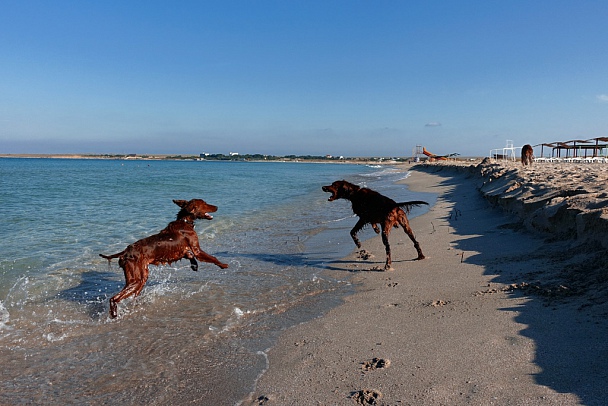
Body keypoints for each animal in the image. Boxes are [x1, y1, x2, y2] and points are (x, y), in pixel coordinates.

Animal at [100, 198, 228, 318]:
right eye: (205, 203)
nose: (217, 207)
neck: (184, 221)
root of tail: (126, 252)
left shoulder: (182, 252)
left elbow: (189, 255)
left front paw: (194, 265)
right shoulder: (197, 250)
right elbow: (212, 258)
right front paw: (223, 265)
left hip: (142, 277)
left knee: (132, 295)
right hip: (136, 279)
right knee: (114, 298)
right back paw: (114, 314)